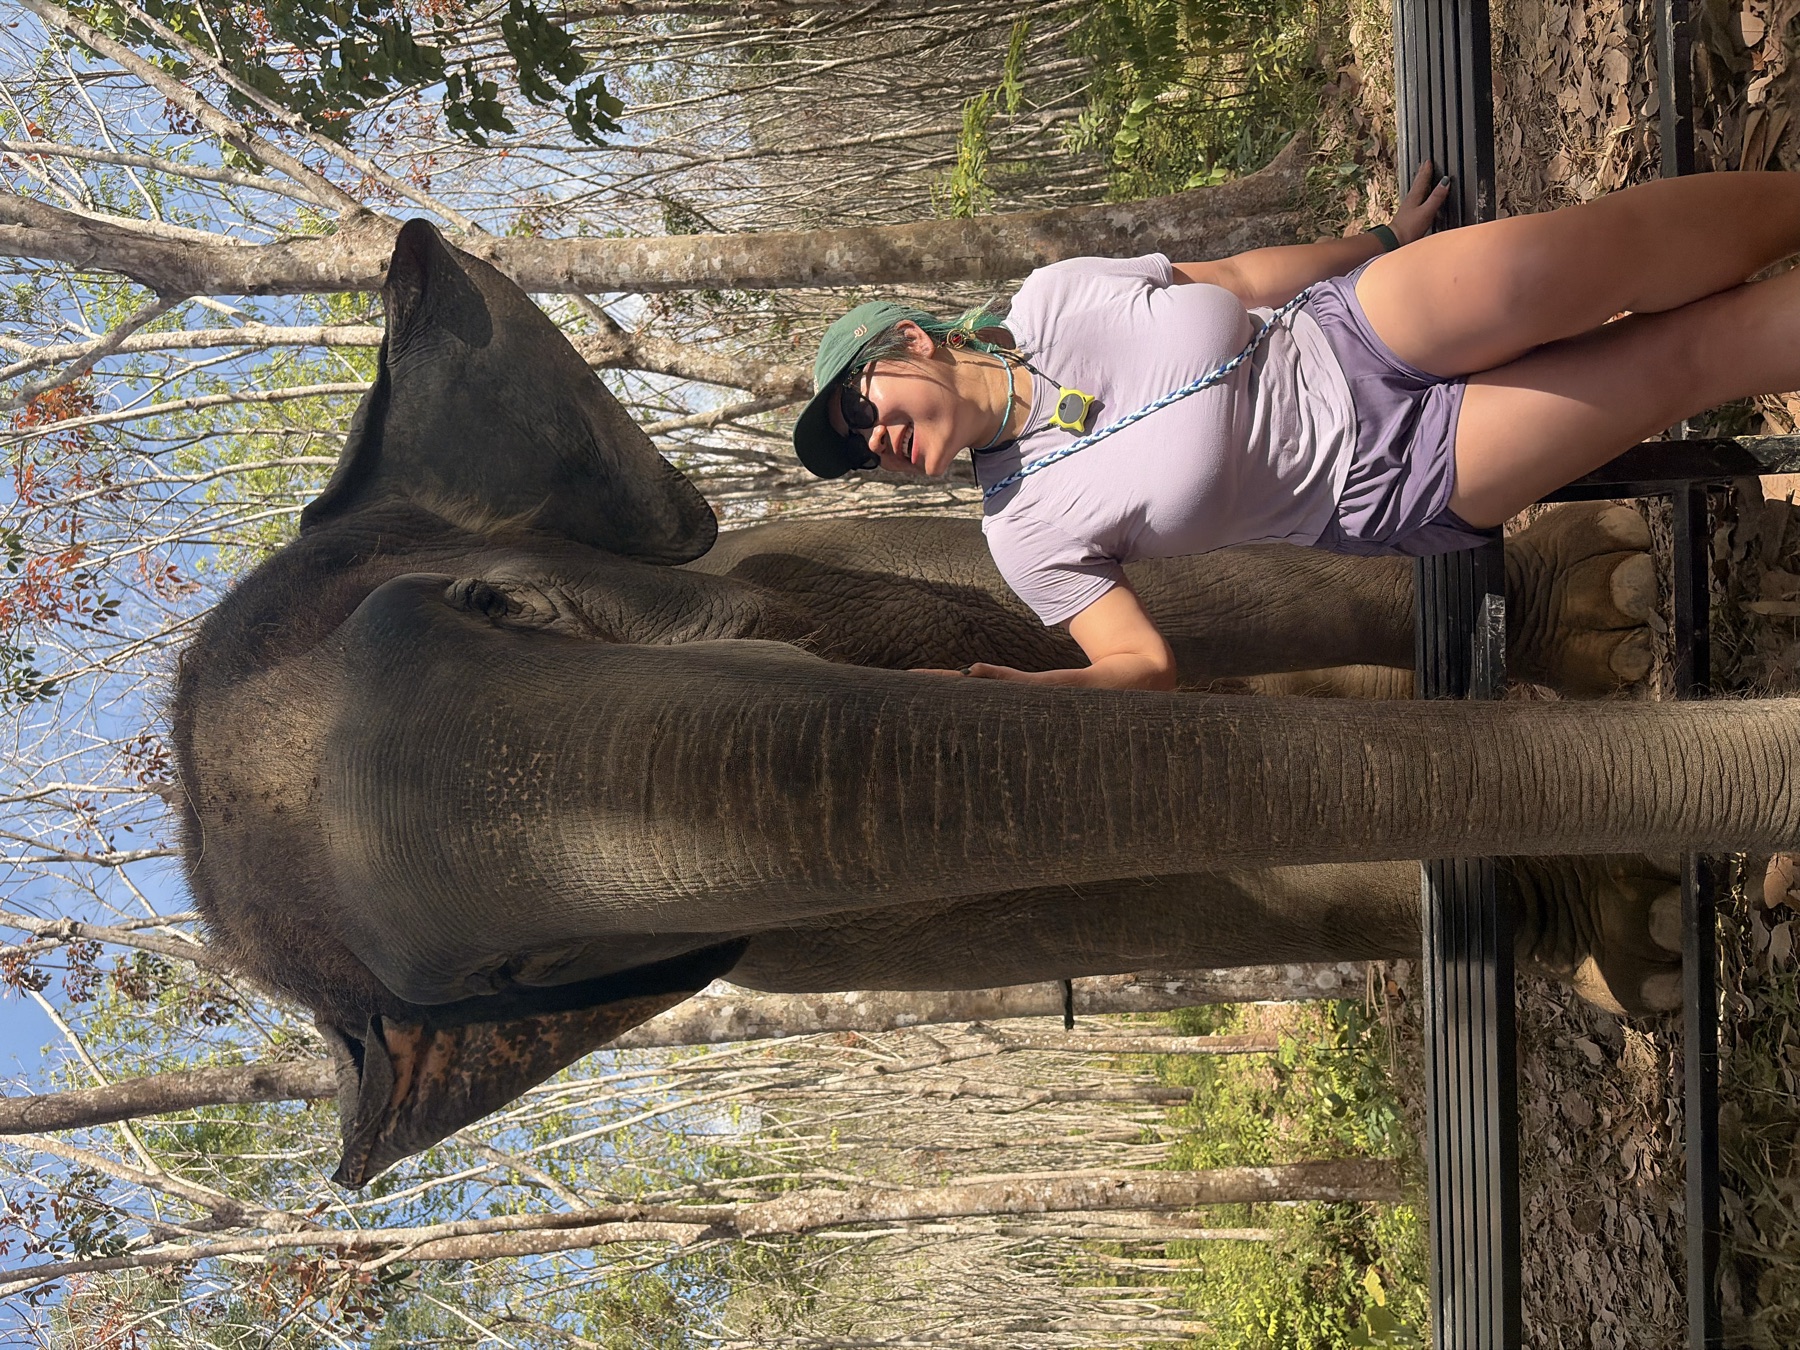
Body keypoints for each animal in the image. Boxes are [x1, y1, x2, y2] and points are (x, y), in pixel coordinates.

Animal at [172, 221, 1784, 1188]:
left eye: (511, 608)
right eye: (528, 970)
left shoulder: (807, 552)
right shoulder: (803, 939)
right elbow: (1147, 878)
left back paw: (1608, 607)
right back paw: (1633, 913)